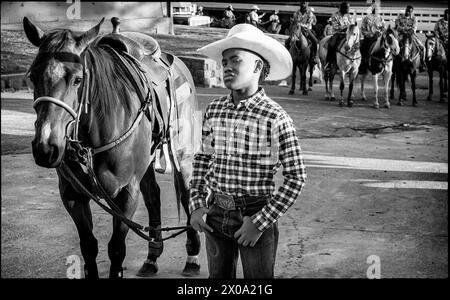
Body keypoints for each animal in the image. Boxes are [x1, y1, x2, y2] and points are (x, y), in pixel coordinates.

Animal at [23, 17, 202, 278]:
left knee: (188, 195)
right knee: (153, 197)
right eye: (32, 76)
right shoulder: (72, 194)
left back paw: (192, 257)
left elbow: (116, 249)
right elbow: (89, 246)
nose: (46, 147)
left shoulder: (126, 194)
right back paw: (152, 257)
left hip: (183, 155)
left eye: (78, 79)